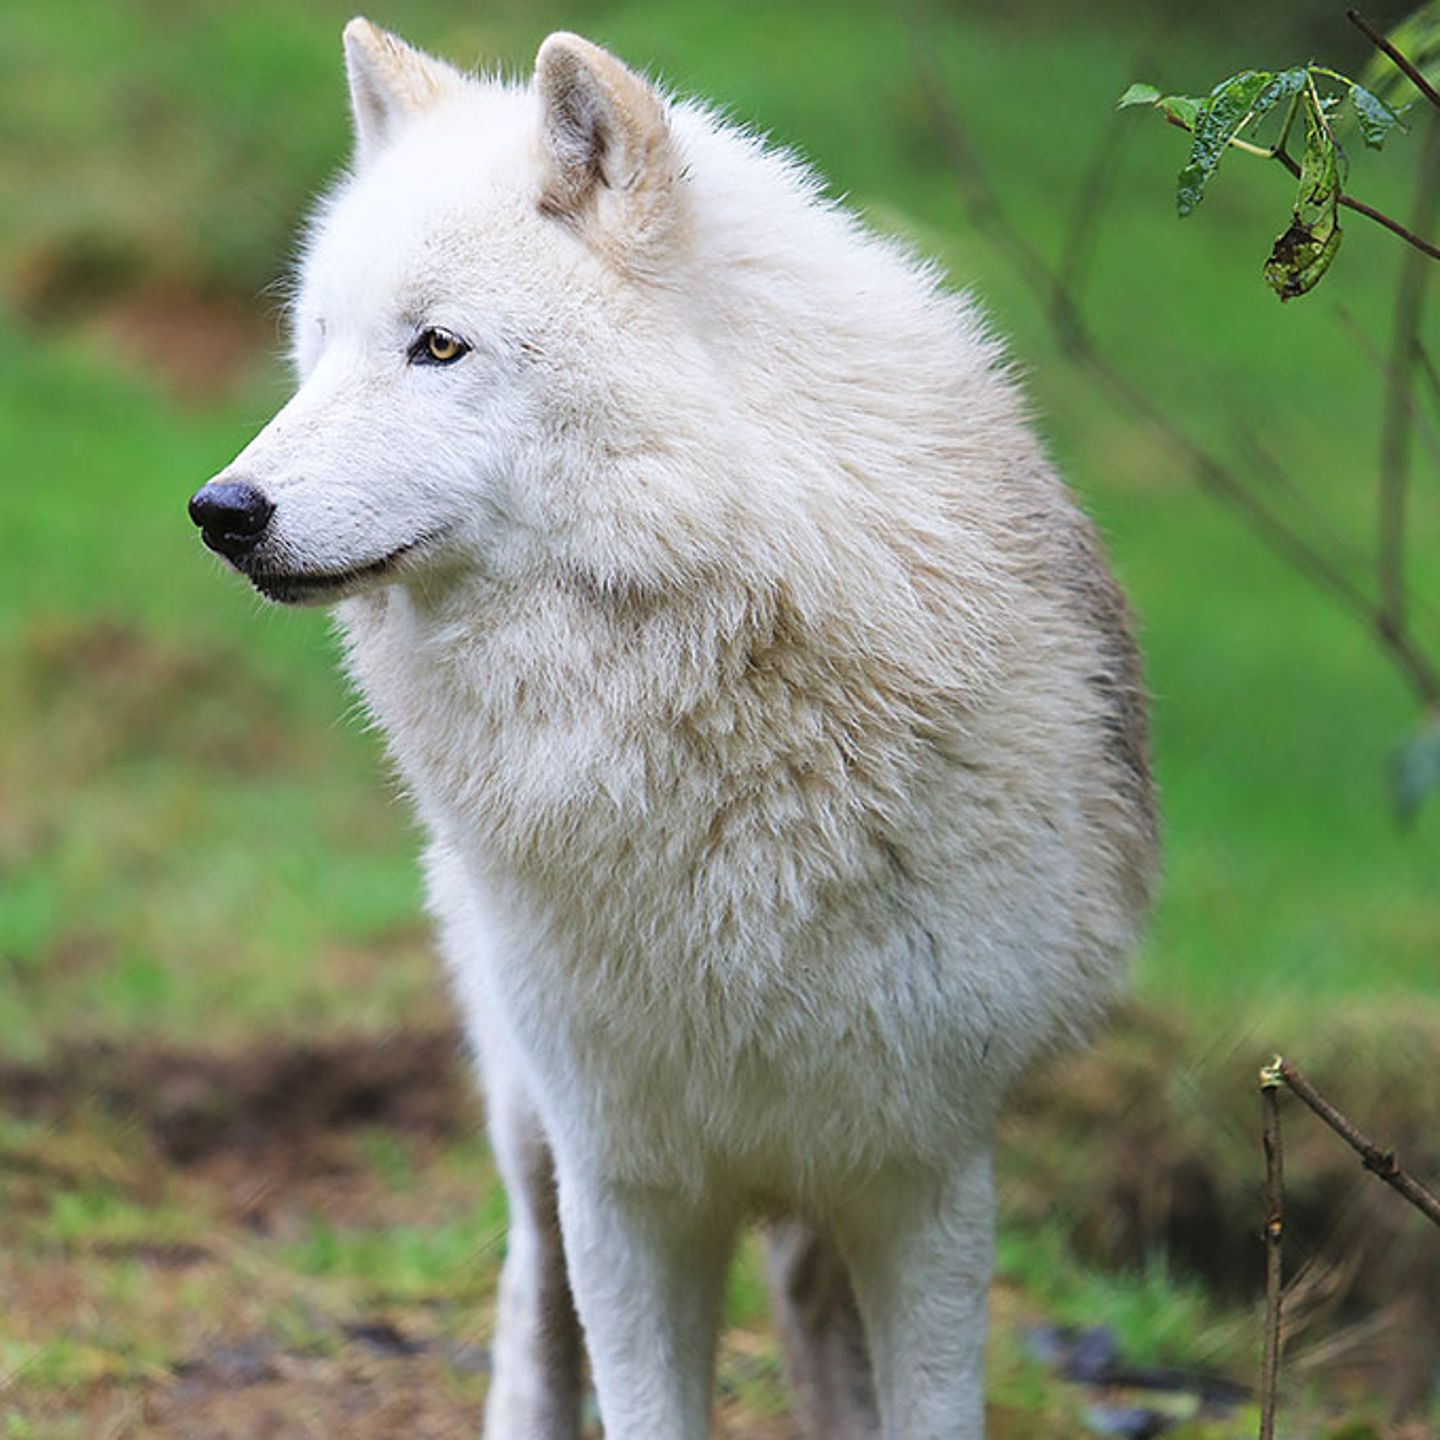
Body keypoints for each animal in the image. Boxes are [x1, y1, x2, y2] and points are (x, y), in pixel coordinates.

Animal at [188, 18, 1157, 1439]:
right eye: (318, 345)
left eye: (438, 348)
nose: (222, 510)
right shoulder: (624, 1180)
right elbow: (634, 1387)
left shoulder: (927, 1170)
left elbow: (927, 1400)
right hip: (528, 1119)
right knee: (532, 1302)